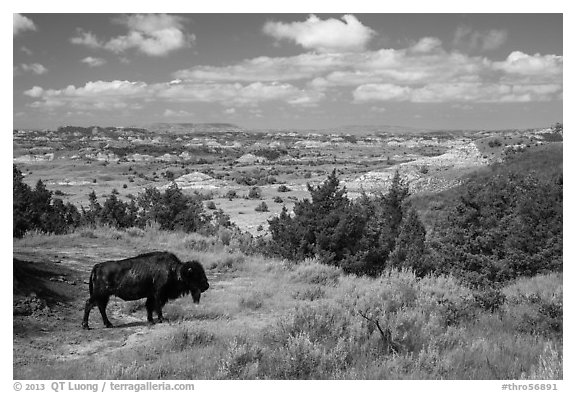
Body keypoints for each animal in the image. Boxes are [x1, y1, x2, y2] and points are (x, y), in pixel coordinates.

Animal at [80, 251, 208, 328]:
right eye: (196, 275)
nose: (207, 285)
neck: (175, 271)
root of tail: (97, 266)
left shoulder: (151, 295)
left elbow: (149, 307)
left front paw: (150, 320)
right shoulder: (158, 294)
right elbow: (157, 307)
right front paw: (161, 319)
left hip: (104, 295)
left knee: (101, 307)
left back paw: (108, 324)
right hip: (100, 294)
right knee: (89, 303)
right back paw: (86, 325)